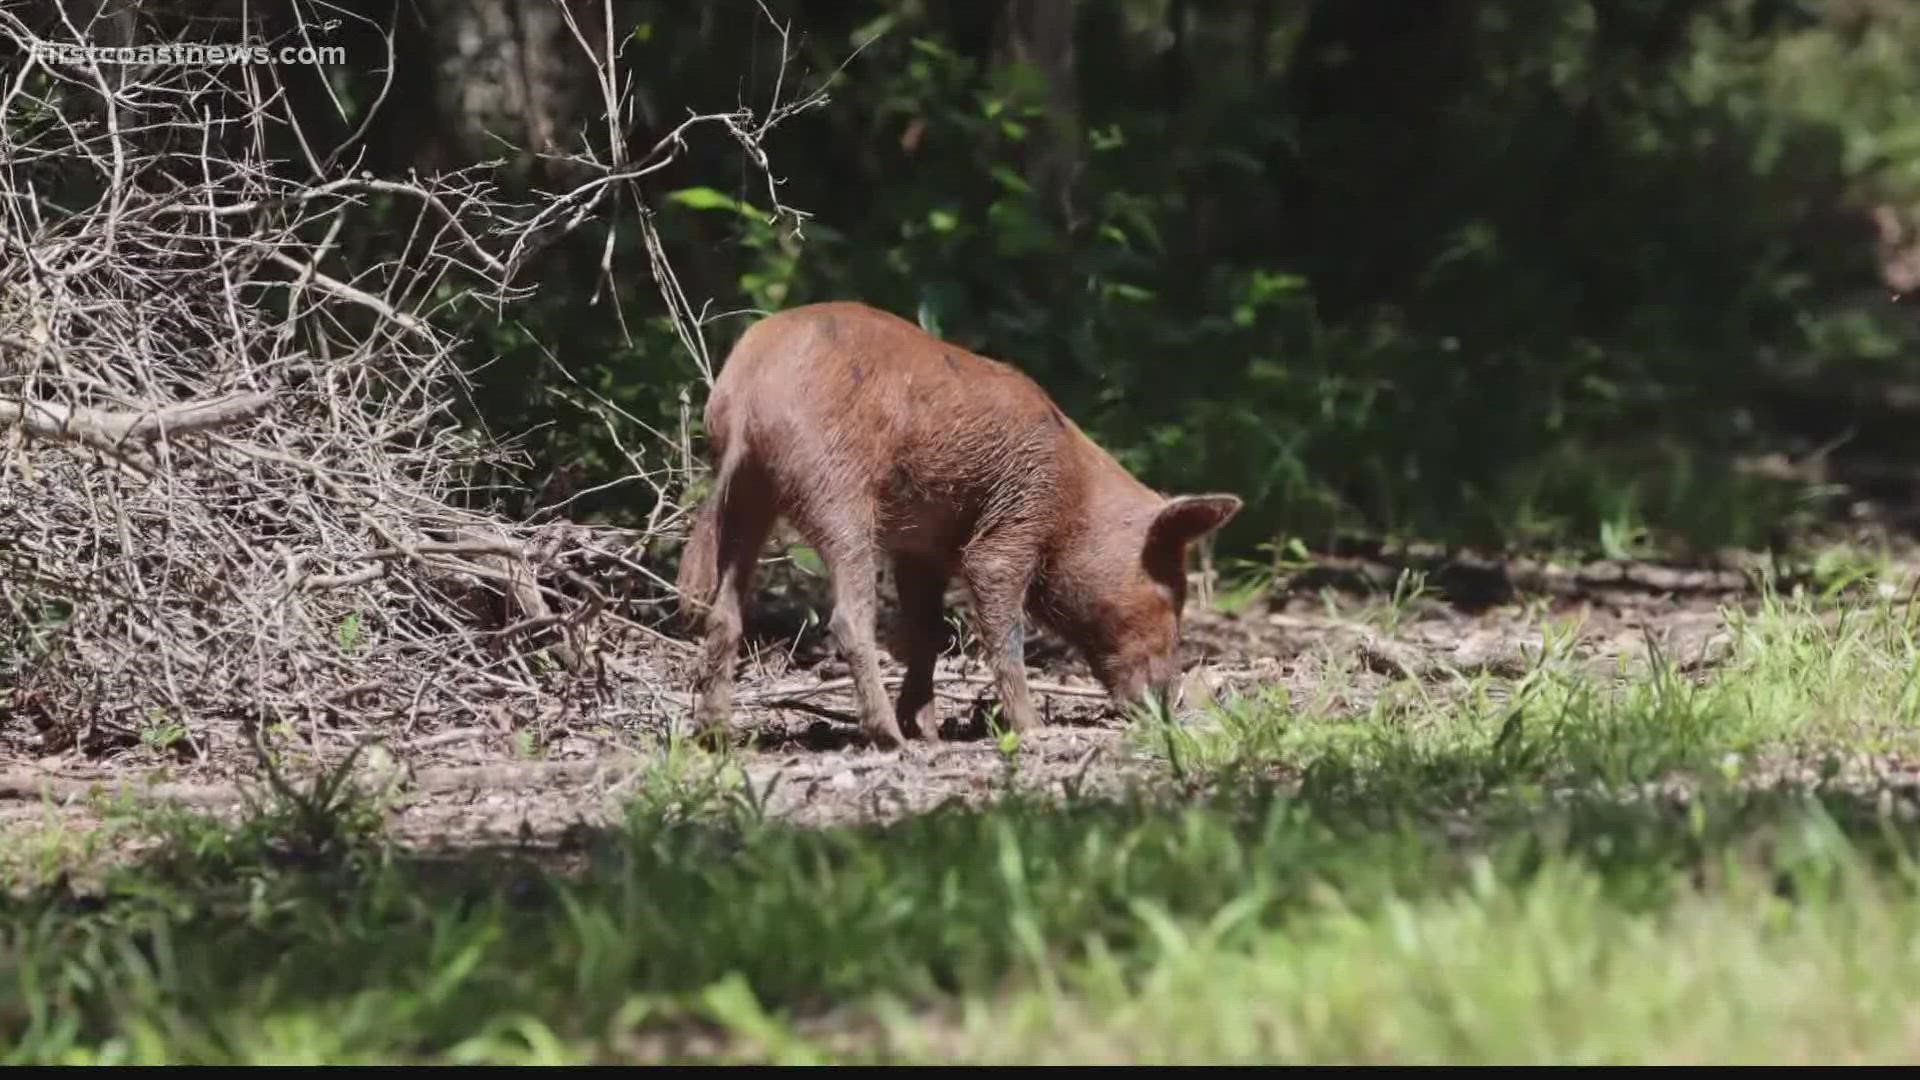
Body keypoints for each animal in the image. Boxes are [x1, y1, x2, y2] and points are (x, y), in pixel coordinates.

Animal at [675, 297, 1244, 745]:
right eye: (1170, 595)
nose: (1168, 703)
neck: (1077, 499)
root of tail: (749, 388)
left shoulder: (920, 548)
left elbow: (926, 631)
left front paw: (928, 730)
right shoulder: (1013, 522)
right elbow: (1000, 618)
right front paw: (1032, 731)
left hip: (747, 496)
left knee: (725, 612)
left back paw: (715, 736)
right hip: (835, 490)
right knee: (848, 616)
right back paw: (889, 740)